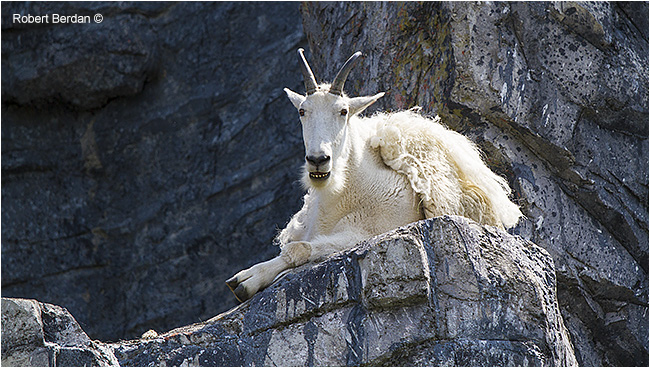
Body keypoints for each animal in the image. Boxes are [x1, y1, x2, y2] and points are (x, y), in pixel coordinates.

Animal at [225, 49, 520, 302]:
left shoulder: (366, 234)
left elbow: (299, 249)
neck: (343, 196)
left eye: (343, 111)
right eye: (302, 111)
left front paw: (247, 279)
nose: (318, 161)